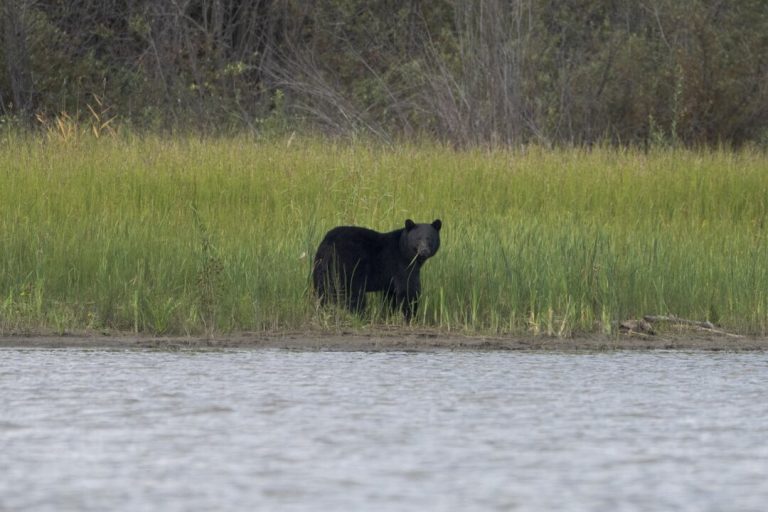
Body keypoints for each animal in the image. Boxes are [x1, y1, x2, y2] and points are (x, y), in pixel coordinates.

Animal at [312, 219, 442, 320]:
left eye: (430, 238)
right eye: (418, 239)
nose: (424, 251)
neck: (403, 249)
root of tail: (328, 243)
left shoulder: (390, 279)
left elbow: (391, 295)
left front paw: (390, 315)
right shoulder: (401, 264)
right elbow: (408, 289)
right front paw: (411, 317)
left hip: (322, 267)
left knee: (323, 290)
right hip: (348, 267)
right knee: (353, 294)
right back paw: (360, 316)